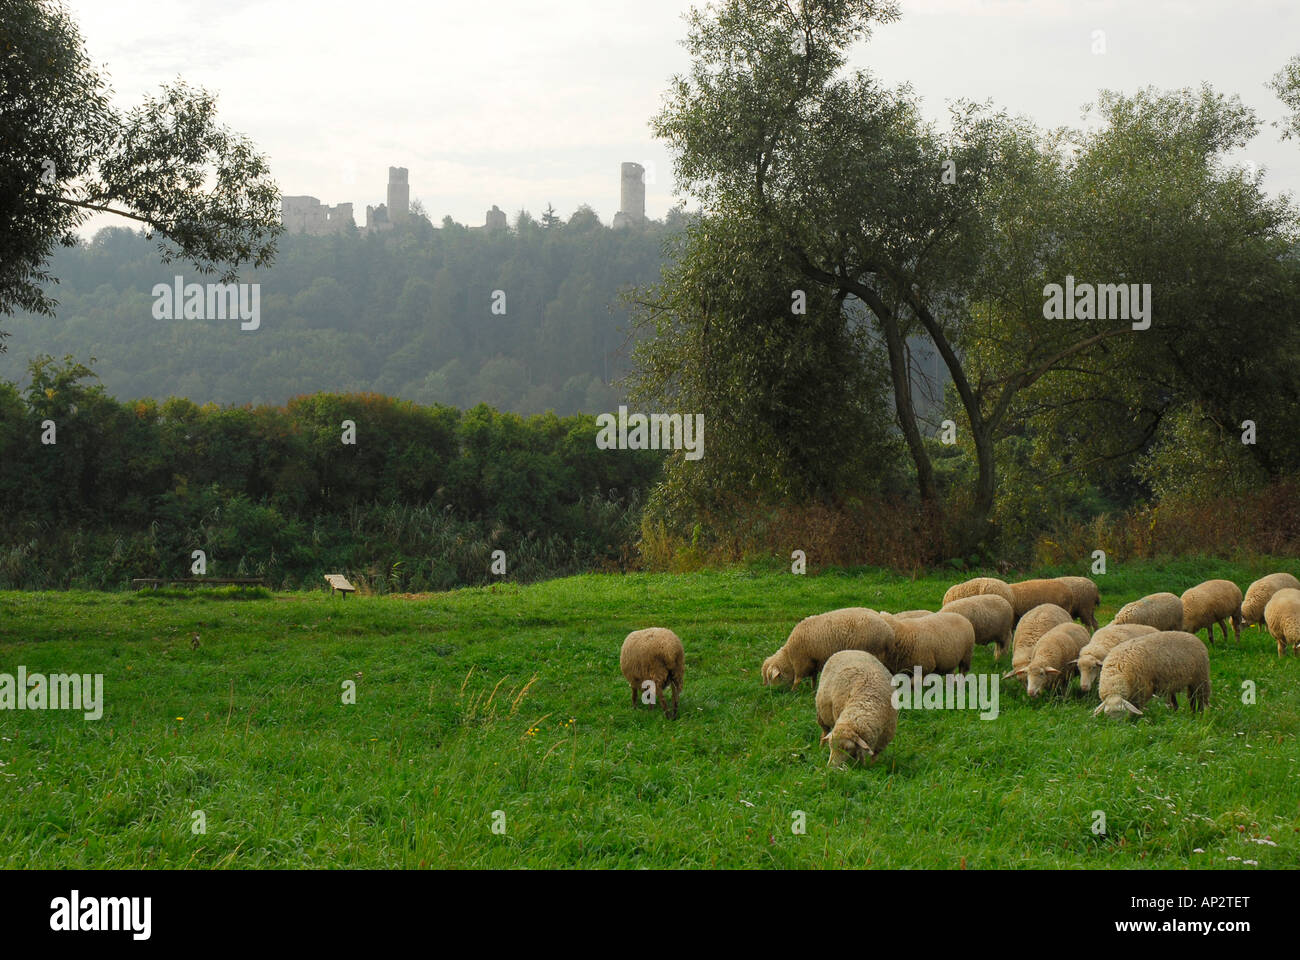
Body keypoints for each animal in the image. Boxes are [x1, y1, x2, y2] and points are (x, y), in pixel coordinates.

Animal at [762, 608, 894, 689]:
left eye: (770, 678)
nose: (769, 692)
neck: (789, 656)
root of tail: (889, 632)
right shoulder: (813, 663)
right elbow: (813, 678)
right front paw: (812, 690)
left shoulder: (801, 662)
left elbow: (797, 680)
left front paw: (793, 691)